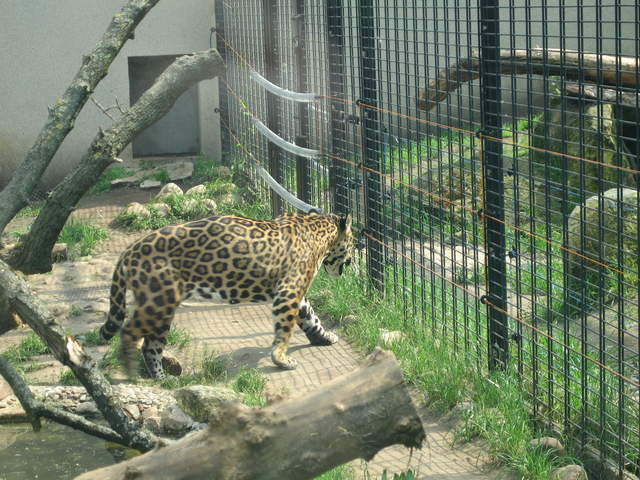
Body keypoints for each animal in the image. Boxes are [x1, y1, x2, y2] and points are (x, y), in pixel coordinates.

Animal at [99, 211, 354, 379]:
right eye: (352, 242)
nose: (352, 260)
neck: (319, 232)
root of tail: (129, 250)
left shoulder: (294, 293)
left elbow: (311, 316)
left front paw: (324, 337)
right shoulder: (288, 291)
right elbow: (285, 329)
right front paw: (281, 359)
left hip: (163, 306)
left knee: (150, 345)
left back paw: (163, 380)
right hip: (158, 300)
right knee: (129, 333)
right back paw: (132, 373)